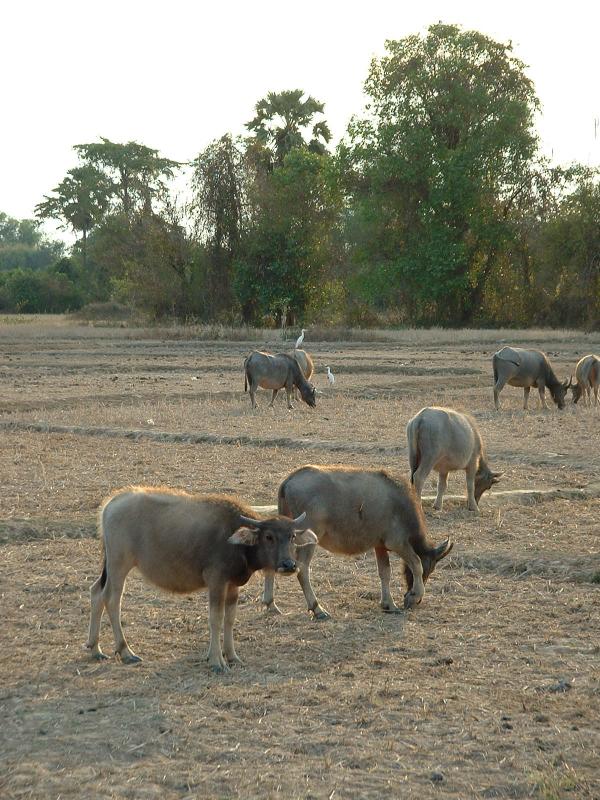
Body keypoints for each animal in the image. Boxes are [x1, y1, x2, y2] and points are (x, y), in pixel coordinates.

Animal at [88, 484, 318, 672]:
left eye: (292, 536)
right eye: (269, 536)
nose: (289, 565)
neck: (236, 542)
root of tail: (112, 503)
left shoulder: (233, 586)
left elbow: (229, 619)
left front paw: (232, 656)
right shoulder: (216, 582)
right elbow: (215, 619)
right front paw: (216, 660)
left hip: (110, 567)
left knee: (96, 592)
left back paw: (94, 648)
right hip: (119, 565)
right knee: (112, 599)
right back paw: (126, 651)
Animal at [260, 462, 452, 620]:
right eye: (430, 569)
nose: (416, 602)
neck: (402, 505)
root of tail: (289, 480)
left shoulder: (380, 546)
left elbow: (385, 572)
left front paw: (388, 604)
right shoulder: (398, 544)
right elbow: (416, 563)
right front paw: (414, 595)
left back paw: (271, 604)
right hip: (308, 540)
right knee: (302, 570)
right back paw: (317, 608)